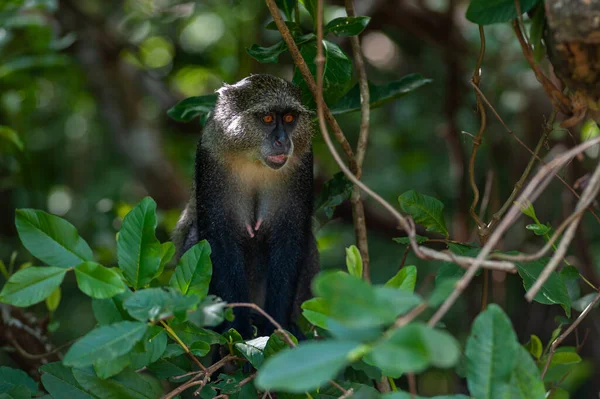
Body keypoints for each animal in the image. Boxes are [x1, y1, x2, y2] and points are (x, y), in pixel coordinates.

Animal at [172, 73, 318, 340]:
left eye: (289, 118)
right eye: (267, 118)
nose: (283, 141)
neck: (253, 159)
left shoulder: (303, 160)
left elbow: (290, 239)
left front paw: (278, 326)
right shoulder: (210, 153)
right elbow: (219, 238)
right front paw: (237, 327)